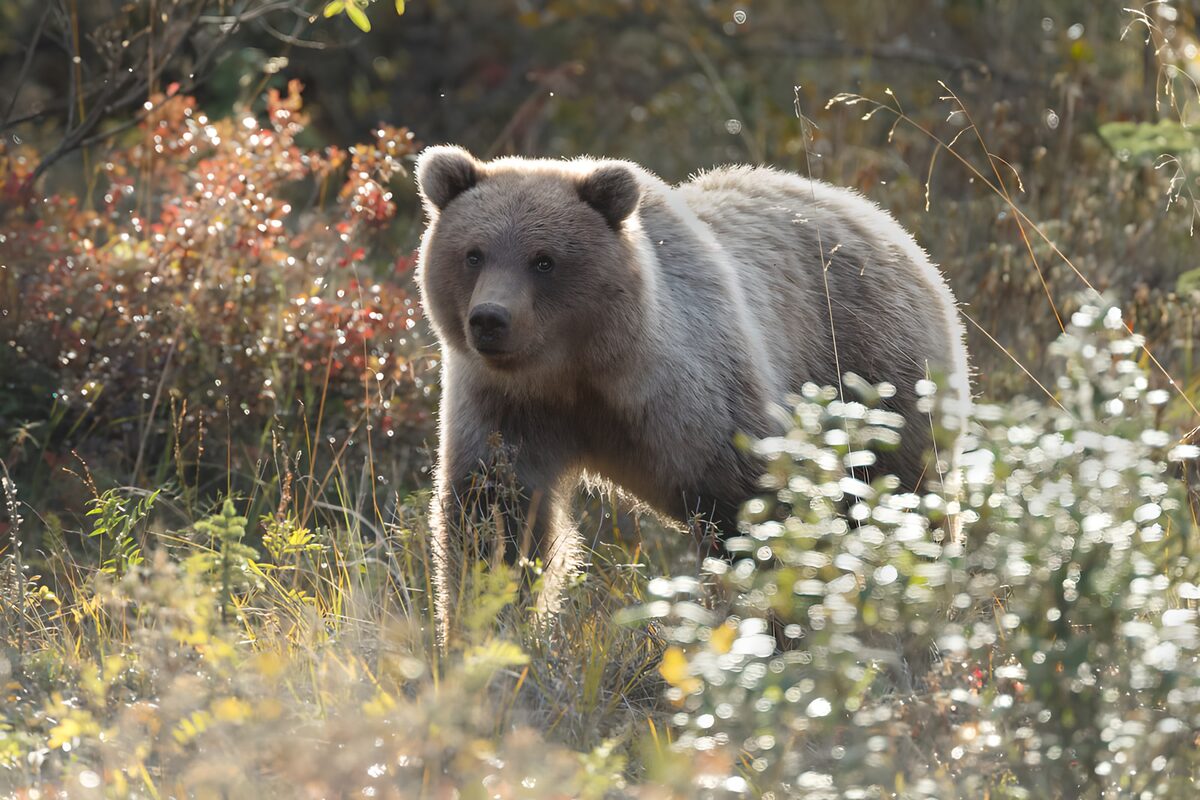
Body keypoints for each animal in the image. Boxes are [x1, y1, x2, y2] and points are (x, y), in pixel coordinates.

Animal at [414, 145, 971, 626]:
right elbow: (492, 516)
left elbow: (748, 506)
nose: (490, 319)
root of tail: (885, 222)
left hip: (871, 368)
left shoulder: (696, 395)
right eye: (473, 254)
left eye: (544, 259)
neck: (582, 372)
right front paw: (482, 624)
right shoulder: (506, 406)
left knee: (898, 494)